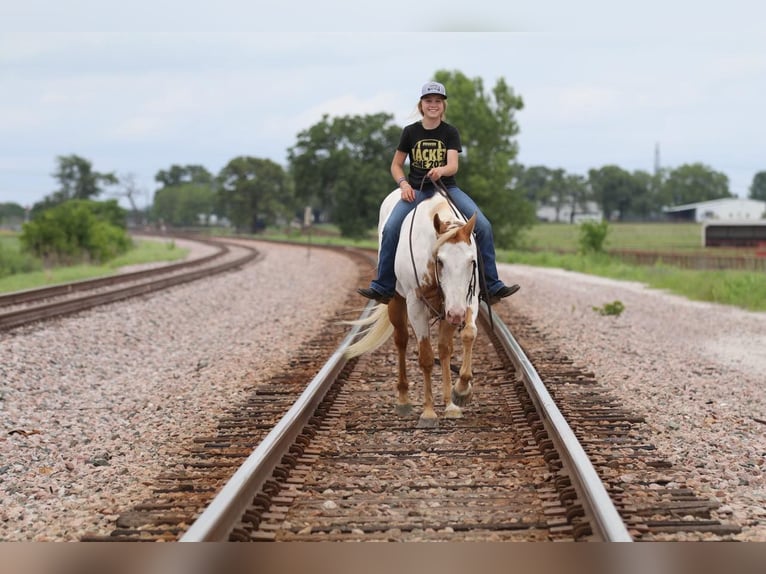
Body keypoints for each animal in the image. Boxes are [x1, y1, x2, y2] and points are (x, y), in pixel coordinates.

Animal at [346, 189, 480, 428]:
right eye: (441, 261)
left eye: (471, 261)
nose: (457, 314)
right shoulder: (416, 305)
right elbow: (425, 357)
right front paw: (428, 413)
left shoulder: (465, 299)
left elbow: (466, 336)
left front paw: (459, 394)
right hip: (396, 301)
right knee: (401, 341)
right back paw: (403, 400)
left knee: (444, 349)